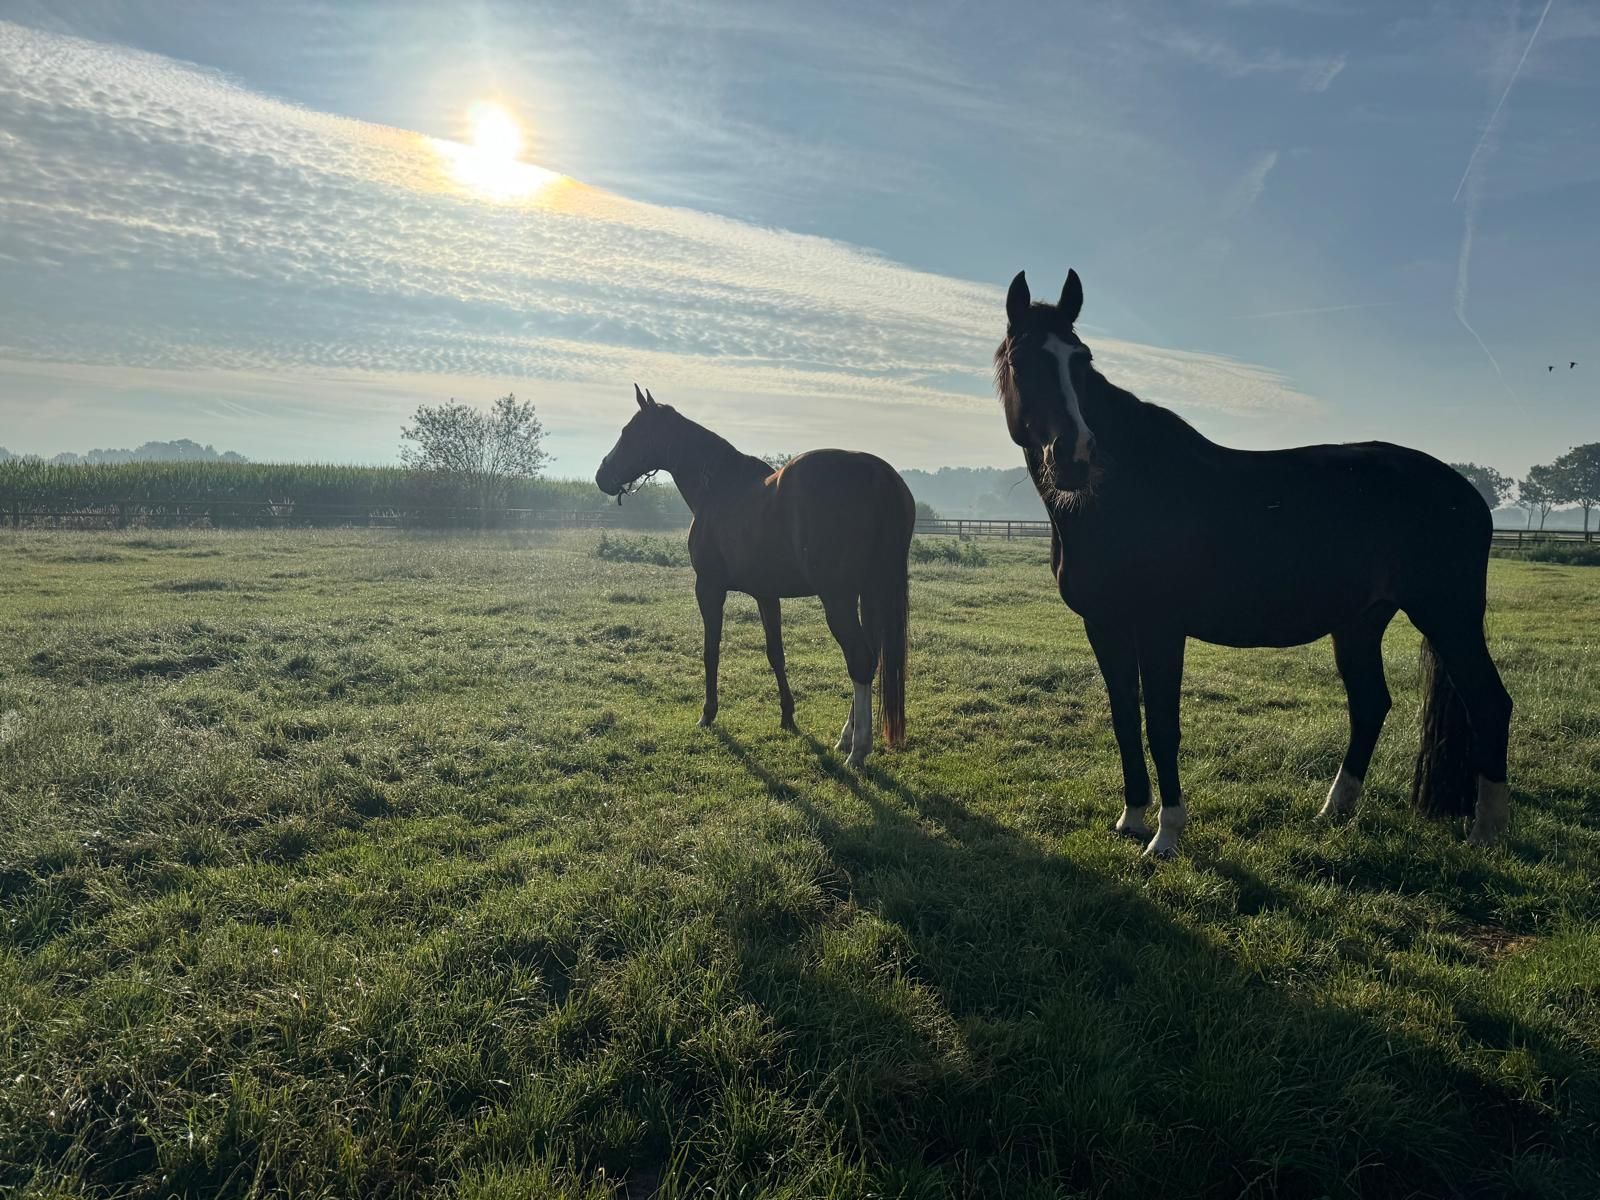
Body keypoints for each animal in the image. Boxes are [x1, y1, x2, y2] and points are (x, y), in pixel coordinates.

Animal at [595, 386, 915, 767]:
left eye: (629, 432)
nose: (602, 476)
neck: (718, 488)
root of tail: (878, 476)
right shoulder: (766, 594)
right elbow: (776, 653)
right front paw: (788, 716)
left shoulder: (709, 589)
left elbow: (711, 650)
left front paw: (708, 713)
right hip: (868, 592)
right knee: (872, 657)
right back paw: (846, 737)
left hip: (838, 598)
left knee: (860, 659)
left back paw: (858, 749)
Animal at [995, 270, 1512, 858]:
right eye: (1022, 360)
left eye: (1081, 360)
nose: (1075, 455)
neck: (1121, 493)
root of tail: (1466, 494)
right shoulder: (1103, 625)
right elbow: (1125, 717)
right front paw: (1131, 819)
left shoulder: (1160, 628)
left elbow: (1163, 725)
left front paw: (1166, 835)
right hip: (1361, 622)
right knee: (1370, 705)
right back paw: (1334, 811)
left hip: (1448, 616)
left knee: (1490, 704)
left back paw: (1486, 831)